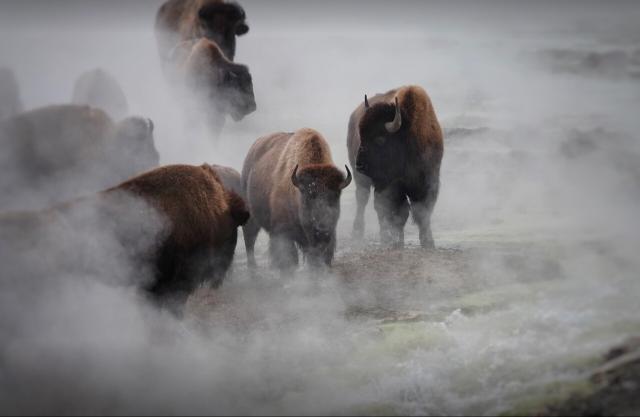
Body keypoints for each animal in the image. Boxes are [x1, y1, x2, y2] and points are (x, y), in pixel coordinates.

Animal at [242, 128, 352, 270]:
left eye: (335, 195)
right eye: (308, 196)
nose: (322, 231)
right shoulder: (282, 232)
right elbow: (289, 258)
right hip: (251, 217)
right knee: (249, 239)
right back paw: (253, 268)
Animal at [347, 85, 443, 248]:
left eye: (380, 139)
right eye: (361, 136)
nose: (359, 164)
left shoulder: (429, 181)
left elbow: (423, 211)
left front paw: (428, 241)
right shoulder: (392, 185)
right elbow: (398, 212)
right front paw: (395, 240)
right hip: (361, 180)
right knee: (364, 200)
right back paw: (360, 233)